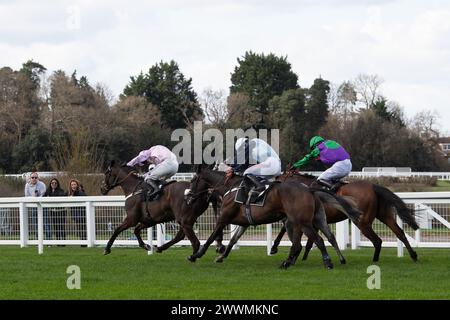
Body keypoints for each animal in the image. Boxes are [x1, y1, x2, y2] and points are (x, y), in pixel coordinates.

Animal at [186, 166, 362, 268]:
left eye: (193, 180)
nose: (187, 196)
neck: (230, 187)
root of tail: (309, 189)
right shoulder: (244, 223)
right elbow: (233, 241)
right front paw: (221, 256)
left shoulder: (223, 218)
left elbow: (210, 238)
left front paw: (195, 255)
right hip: (317, 219)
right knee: (327, 236)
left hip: (302, 222)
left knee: (316, 240)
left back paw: (327, 262)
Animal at [268, 171, 418, 262]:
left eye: (276, 180)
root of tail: (373, 186)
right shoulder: (313, 221)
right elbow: (311, 241)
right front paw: (303, 256)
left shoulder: (302, 218)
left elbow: (286, 229)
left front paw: (275, 248)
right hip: (384, 216)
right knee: (400, 233)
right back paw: (413, 255)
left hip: (362, 222)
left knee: (377, 241)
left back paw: (375, 260)